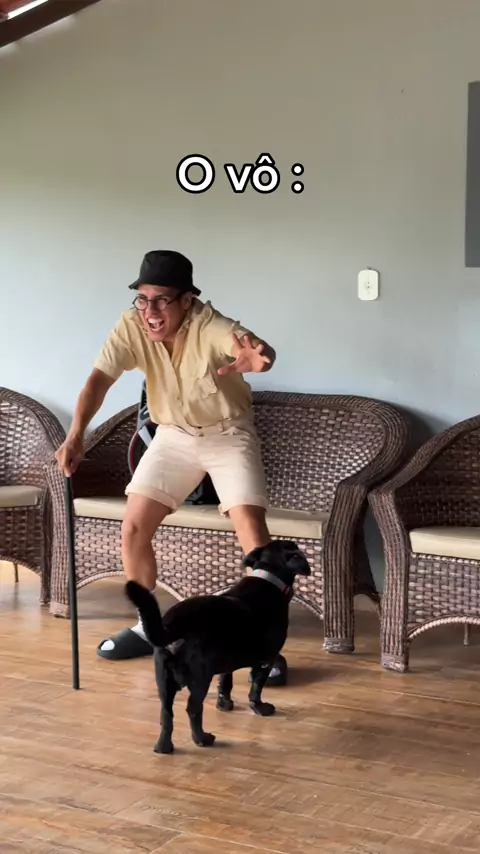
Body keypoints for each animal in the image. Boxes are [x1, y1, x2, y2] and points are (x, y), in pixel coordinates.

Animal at [125, 539, 311, 754]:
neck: (269, 577)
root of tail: (173, 626)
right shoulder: (266, 660)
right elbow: (256, 688)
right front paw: (261, 709)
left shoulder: (226, 662)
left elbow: (225, 682)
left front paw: (224, 704)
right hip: (199, 679)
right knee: (193, 709)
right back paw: (202, 739)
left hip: (163, 681)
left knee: (166, 714)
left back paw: (163, 747)